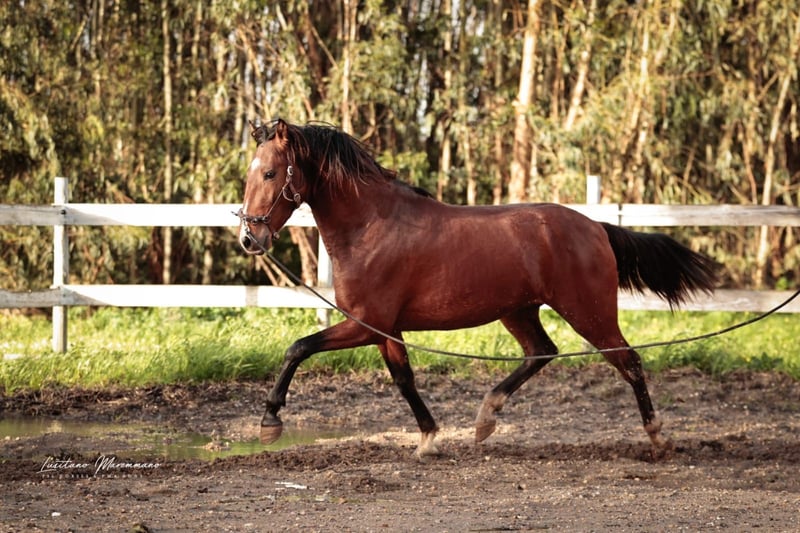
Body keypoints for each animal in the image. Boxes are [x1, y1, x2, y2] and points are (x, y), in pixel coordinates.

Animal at [236, 118, 718, 458]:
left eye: (271, 173)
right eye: (251, 172)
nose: (249, 239)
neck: (371, 226)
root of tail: (596, 227)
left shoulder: (366, 323)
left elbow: (297, 348)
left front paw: (269, 421)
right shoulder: (385, 330)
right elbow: (404, 379)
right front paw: (429, 438)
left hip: (589, 312)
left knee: (629, 361)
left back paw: (658, 438)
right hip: (519, 311)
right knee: (541, 351)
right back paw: (486, 418)